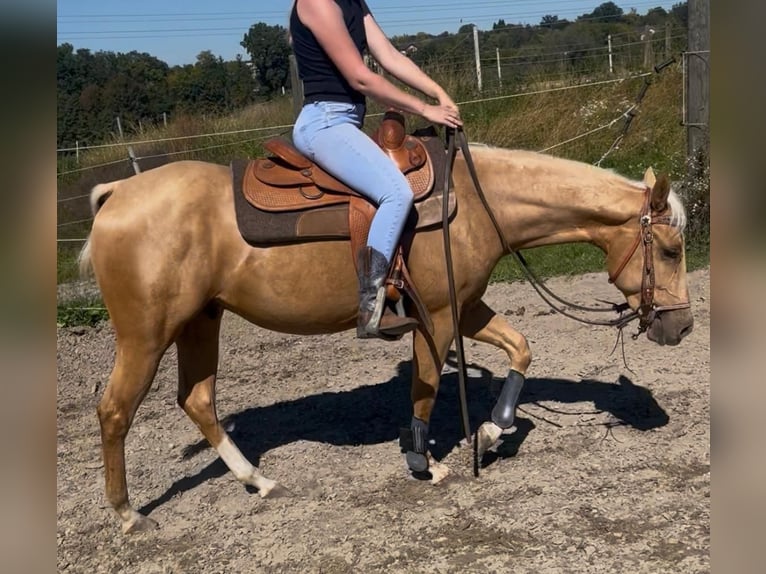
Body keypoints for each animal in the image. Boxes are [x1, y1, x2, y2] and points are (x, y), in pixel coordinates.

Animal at [78, 143, 693, 533]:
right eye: (670, 250)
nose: (682, 326)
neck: (477, 203)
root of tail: (117, 194)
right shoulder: (438, 317)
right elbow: (425, 385)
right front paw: (426, 461)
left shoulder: (467, 308)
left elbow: (521, 348)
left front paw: (491, 433)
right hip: (146, 335)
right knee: (115, 411)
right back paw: (129, 515)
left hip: (201, 321)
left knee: (198, 400)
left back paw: (259, 480)